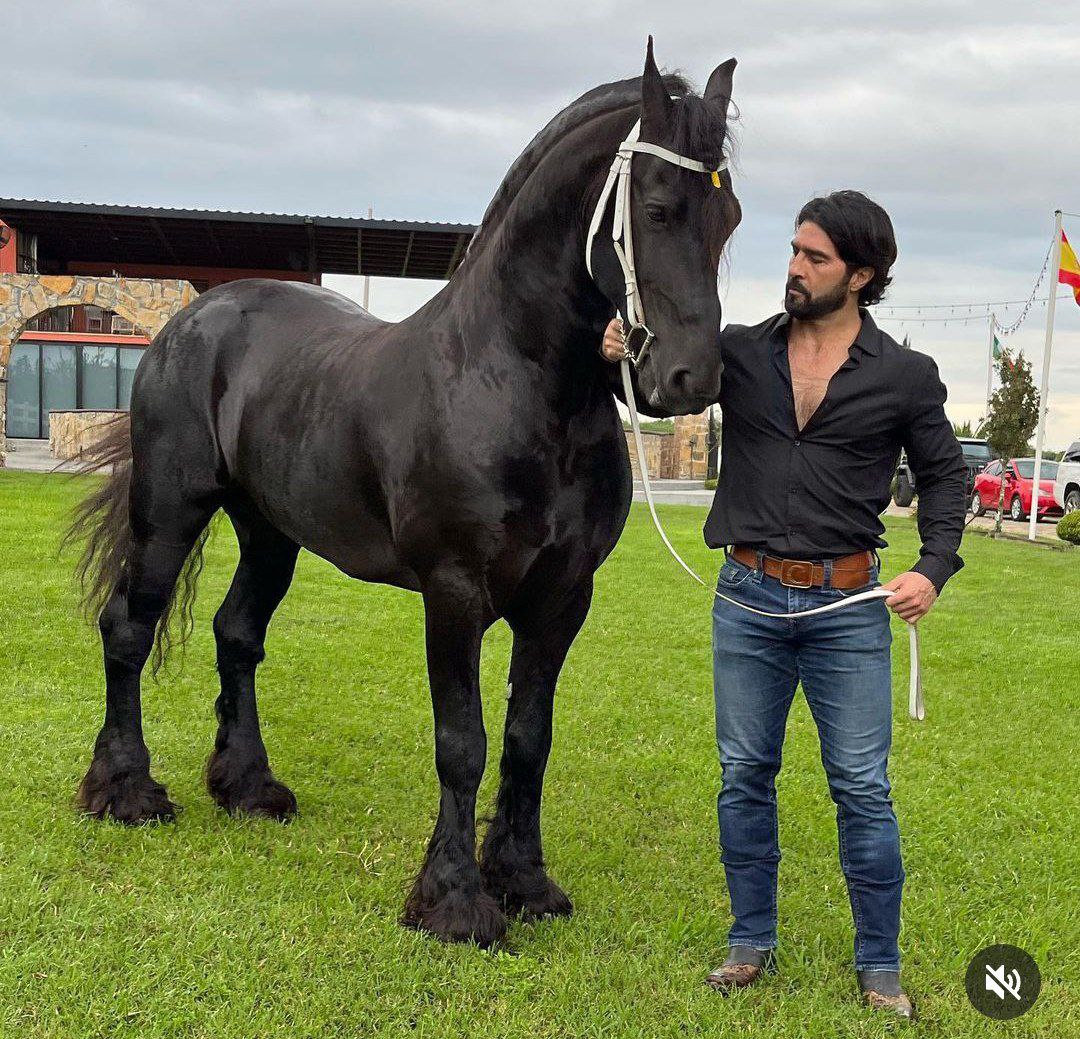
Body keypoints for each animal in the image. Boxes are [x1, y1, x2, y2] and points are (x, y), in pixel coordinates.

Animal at [67, 40, 741, 948]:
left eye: (729, 216)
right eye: (661, 209)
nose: (689, 379)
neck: (510, 379)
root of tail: (193, 317)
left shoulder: (563, 597)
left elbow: (529, 738)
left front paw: (524, 880)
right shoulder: (454, 592)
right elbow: (464, 741)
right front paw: (454, 901)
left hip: (270, 530)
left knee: (236, 632)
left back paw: (248, 786)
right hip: (169, 509)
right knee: (129, 628)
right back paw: (124, 790)